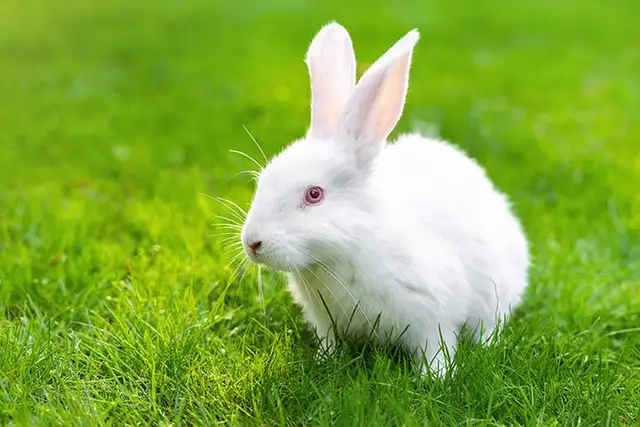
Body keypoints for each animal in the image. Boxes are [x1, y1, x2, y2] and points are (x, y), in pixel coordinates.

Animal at [240, 22, 529, 377]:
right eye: (262, 181)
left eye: (314, 194)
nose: (252, 243)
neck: (346, 249)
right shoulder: (325, 322)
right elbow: (328, 342)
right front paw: (325, 361)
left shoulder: (432, 316)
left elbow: (437, 347)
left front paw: (435, 378)